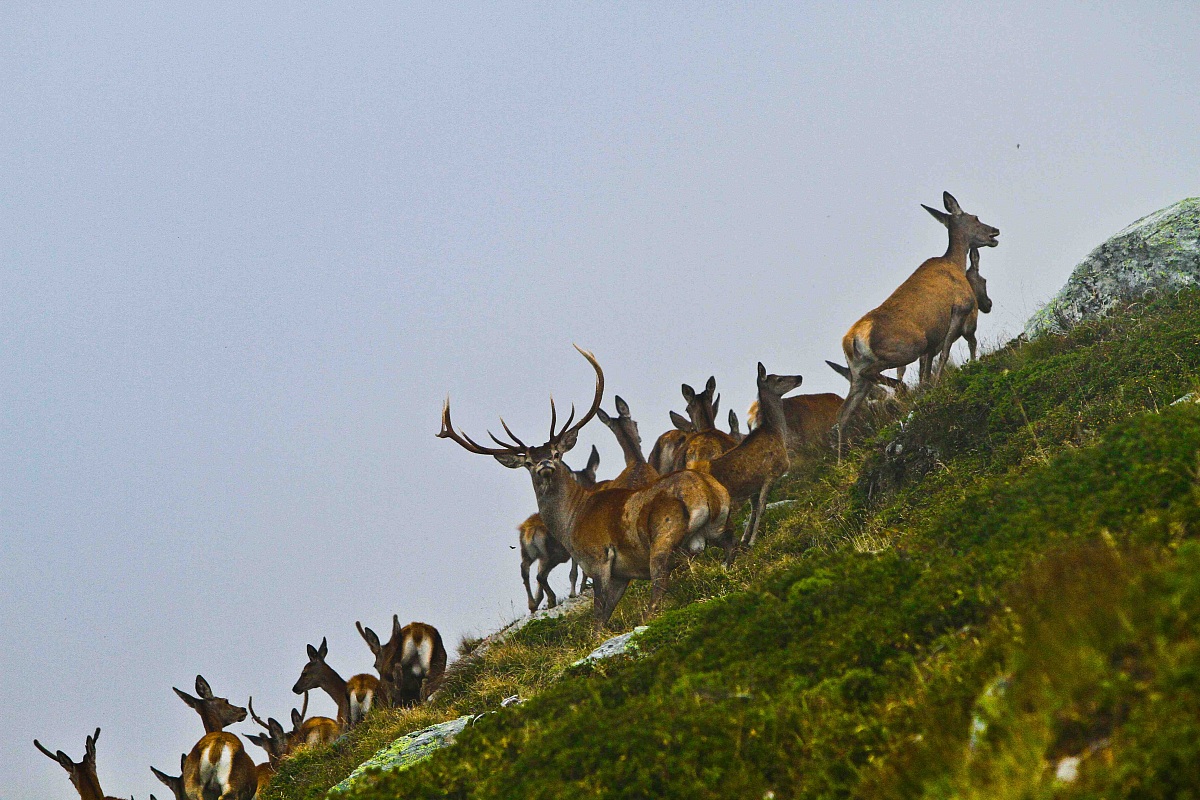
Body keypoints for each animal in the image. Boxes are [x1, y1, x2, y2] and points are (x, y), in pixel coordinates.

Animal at [515, 446, 599, 611]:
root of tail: (530, 532)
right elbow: (576, 571)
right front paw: (578, 591)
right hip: (553, 555)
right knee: (540, 575)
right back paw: (551, 599)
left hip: (529, 554)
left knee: (525, 570)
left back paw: (533, 604)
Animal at [708, 364, 805, 548]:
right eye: (779, 379)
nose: (799, 377)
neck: (777, 432)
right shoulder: (772, 473)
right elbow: (761, 508)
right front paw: (753, 540)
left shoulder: (754, 486)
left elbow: (754, 510)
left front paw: (745, 539)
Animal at [835, 191, 999, 453]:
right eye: (975, 217)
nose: (995, 231)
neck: (955, 264)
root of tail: (852, 340)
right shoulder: (959, 308)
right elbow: (945, 353)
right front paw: (937, 387)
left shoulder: (931, 341)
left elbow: (926, 370)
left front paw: (926, 393)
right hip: (904, 347)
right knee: (877, 375)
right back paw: (902, 391)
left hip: (856, 371)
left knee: (843, 415)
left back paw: (842, 457)